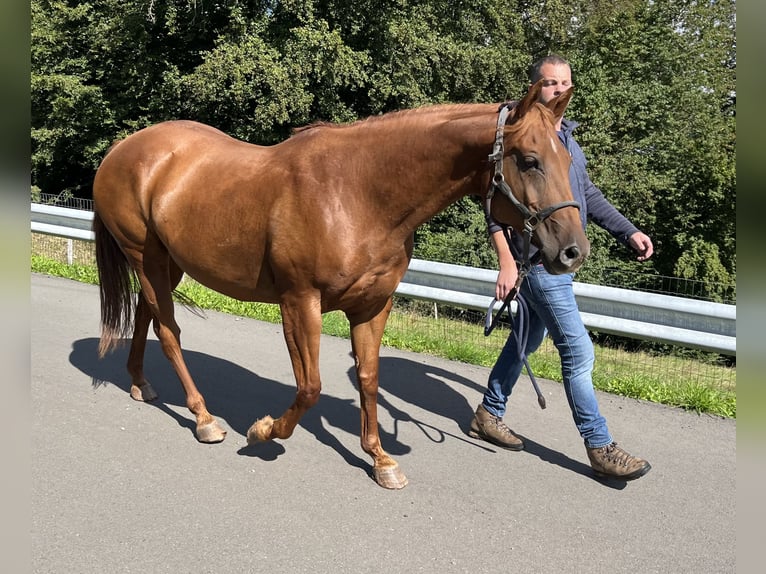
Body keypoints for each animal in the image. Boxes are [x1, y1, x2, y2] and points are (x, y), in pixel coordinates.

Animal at [93, 81, 592, 490]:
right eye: (529, 160)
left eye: (567, 159)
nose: (572, 252)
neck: (358, 193)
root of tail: (123, 149)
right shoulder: (299, 302)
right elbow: (310, 386)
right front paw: (263, 431)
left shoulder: (373, 306)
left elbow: (369, 379)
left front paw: (380, 459)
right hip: (146, 258)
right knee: (168, 331)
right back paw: (203, 417)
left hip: (167, 263)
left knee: (145, 314)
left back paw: (140, 383)